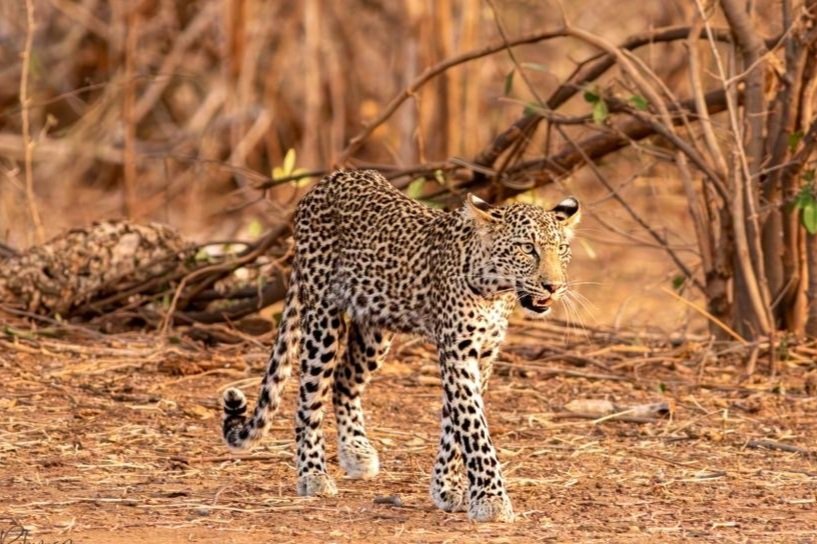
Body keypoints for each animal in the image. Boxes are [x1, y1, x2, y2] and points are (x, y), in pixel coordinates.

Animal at [221, 169, 580, 522]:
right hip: (323, 318)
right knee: (310, 396)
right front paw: (490, 499)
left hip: (375, 330)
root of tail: (327, 180)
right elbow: (473, 426)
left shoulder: (484, 354)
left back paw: (356, 453)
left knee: (343, 381)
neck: (496, 292)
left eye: (562, 249)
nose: (554, 286)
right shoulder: (458, 350)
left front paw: (446, 487)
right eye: (527, 248)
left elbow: (455, 423)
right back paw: (313, 474)